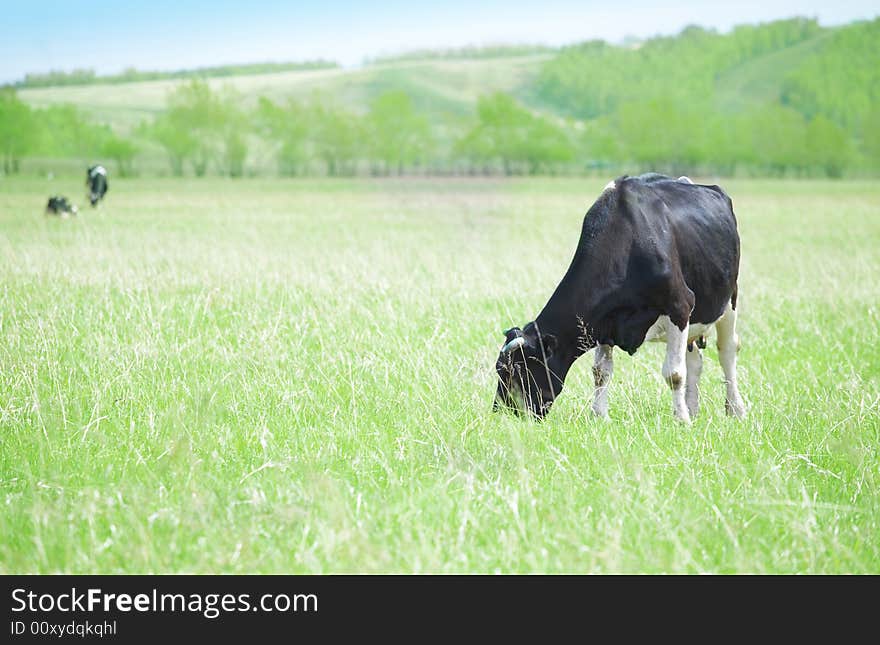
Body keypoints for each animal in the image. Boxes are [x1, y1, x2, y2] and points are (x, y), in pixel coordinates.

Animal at [492, 172, 744, 422]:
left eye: (517, 369)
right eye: (499, 368)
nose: (501, 412)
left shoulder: (680, 305)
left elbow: (674, 373)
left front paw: (681, 420)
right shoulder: (604, 321)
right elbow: (600, 371)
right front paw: (599, 416)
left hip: (729, 298)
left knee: (727, 350)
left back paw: (735, 409)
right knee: (695, 360)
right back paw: (693, 408)